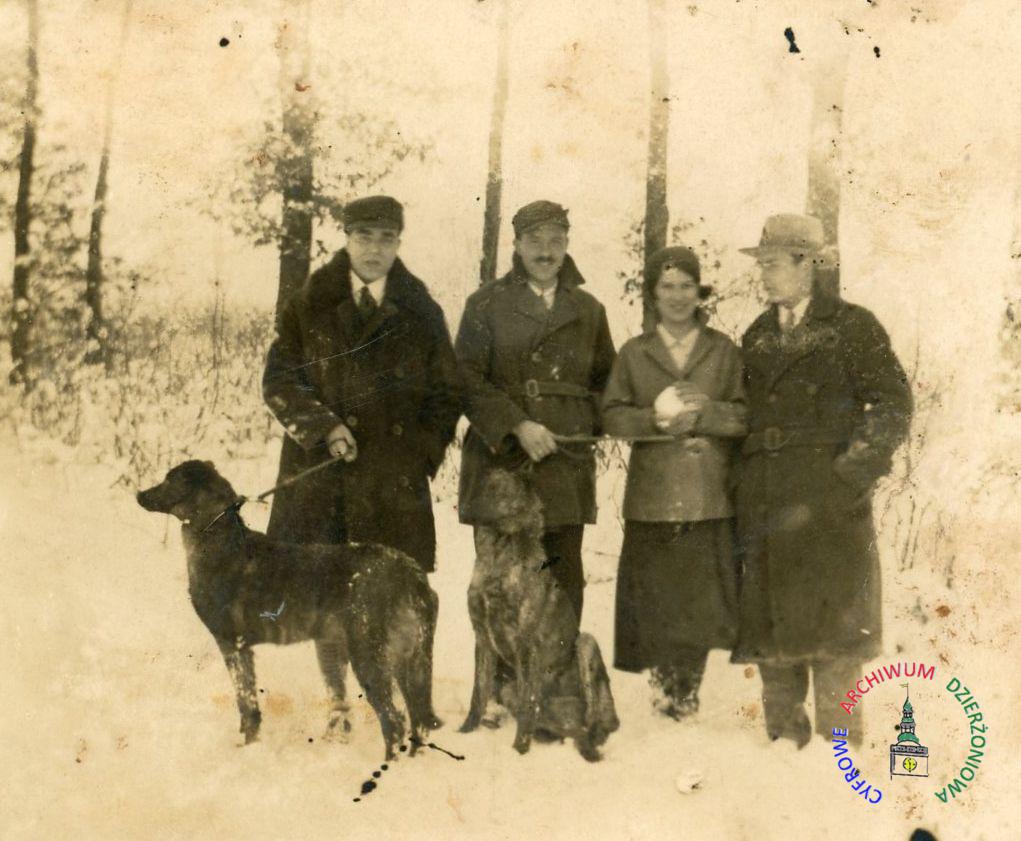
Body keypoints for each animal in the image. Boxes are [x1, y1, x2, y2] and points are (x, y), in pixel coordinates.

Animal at [137, 460, 440, 760]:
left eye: (170, 479)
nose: (139, 494)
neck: (218, 538)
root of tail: (412, 575)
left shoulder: (232, 643)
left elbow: (245, 701)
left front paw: (249, 747)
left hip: (369, 653)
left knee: (394, 721)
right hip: (403, 657)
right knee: (417, 719)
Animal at [458, 468, 619, 761]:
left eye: (500, 491)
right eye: (483, 486)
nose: (464, 508)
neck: (498, 557)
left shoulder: (526, 644)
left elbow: (527, 702)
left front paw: (519, 749)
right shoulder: (483, 638)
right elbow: (478, 693)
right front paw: (465, 733)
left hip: (586, 642)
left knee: (594, 721)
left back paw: (591, 741)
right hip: (512, 688)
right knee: (565, 726)